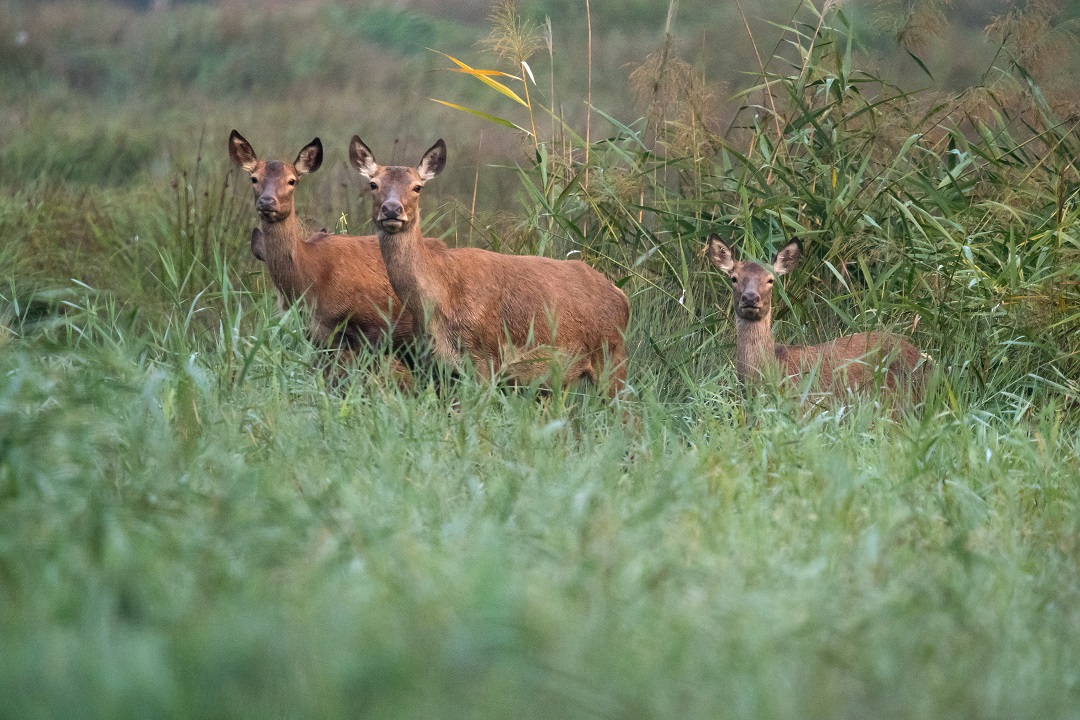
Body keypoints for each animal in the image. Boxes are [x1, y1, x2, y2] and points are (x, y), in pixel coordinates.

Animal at [345, 133, 630, 395]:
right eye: (373, 184)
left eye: (417, 187)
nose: (392, 210)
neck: (440, 299)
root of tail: (622, 295)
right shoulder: (435, 365)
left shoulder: (487, 357)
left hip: (613, 357)